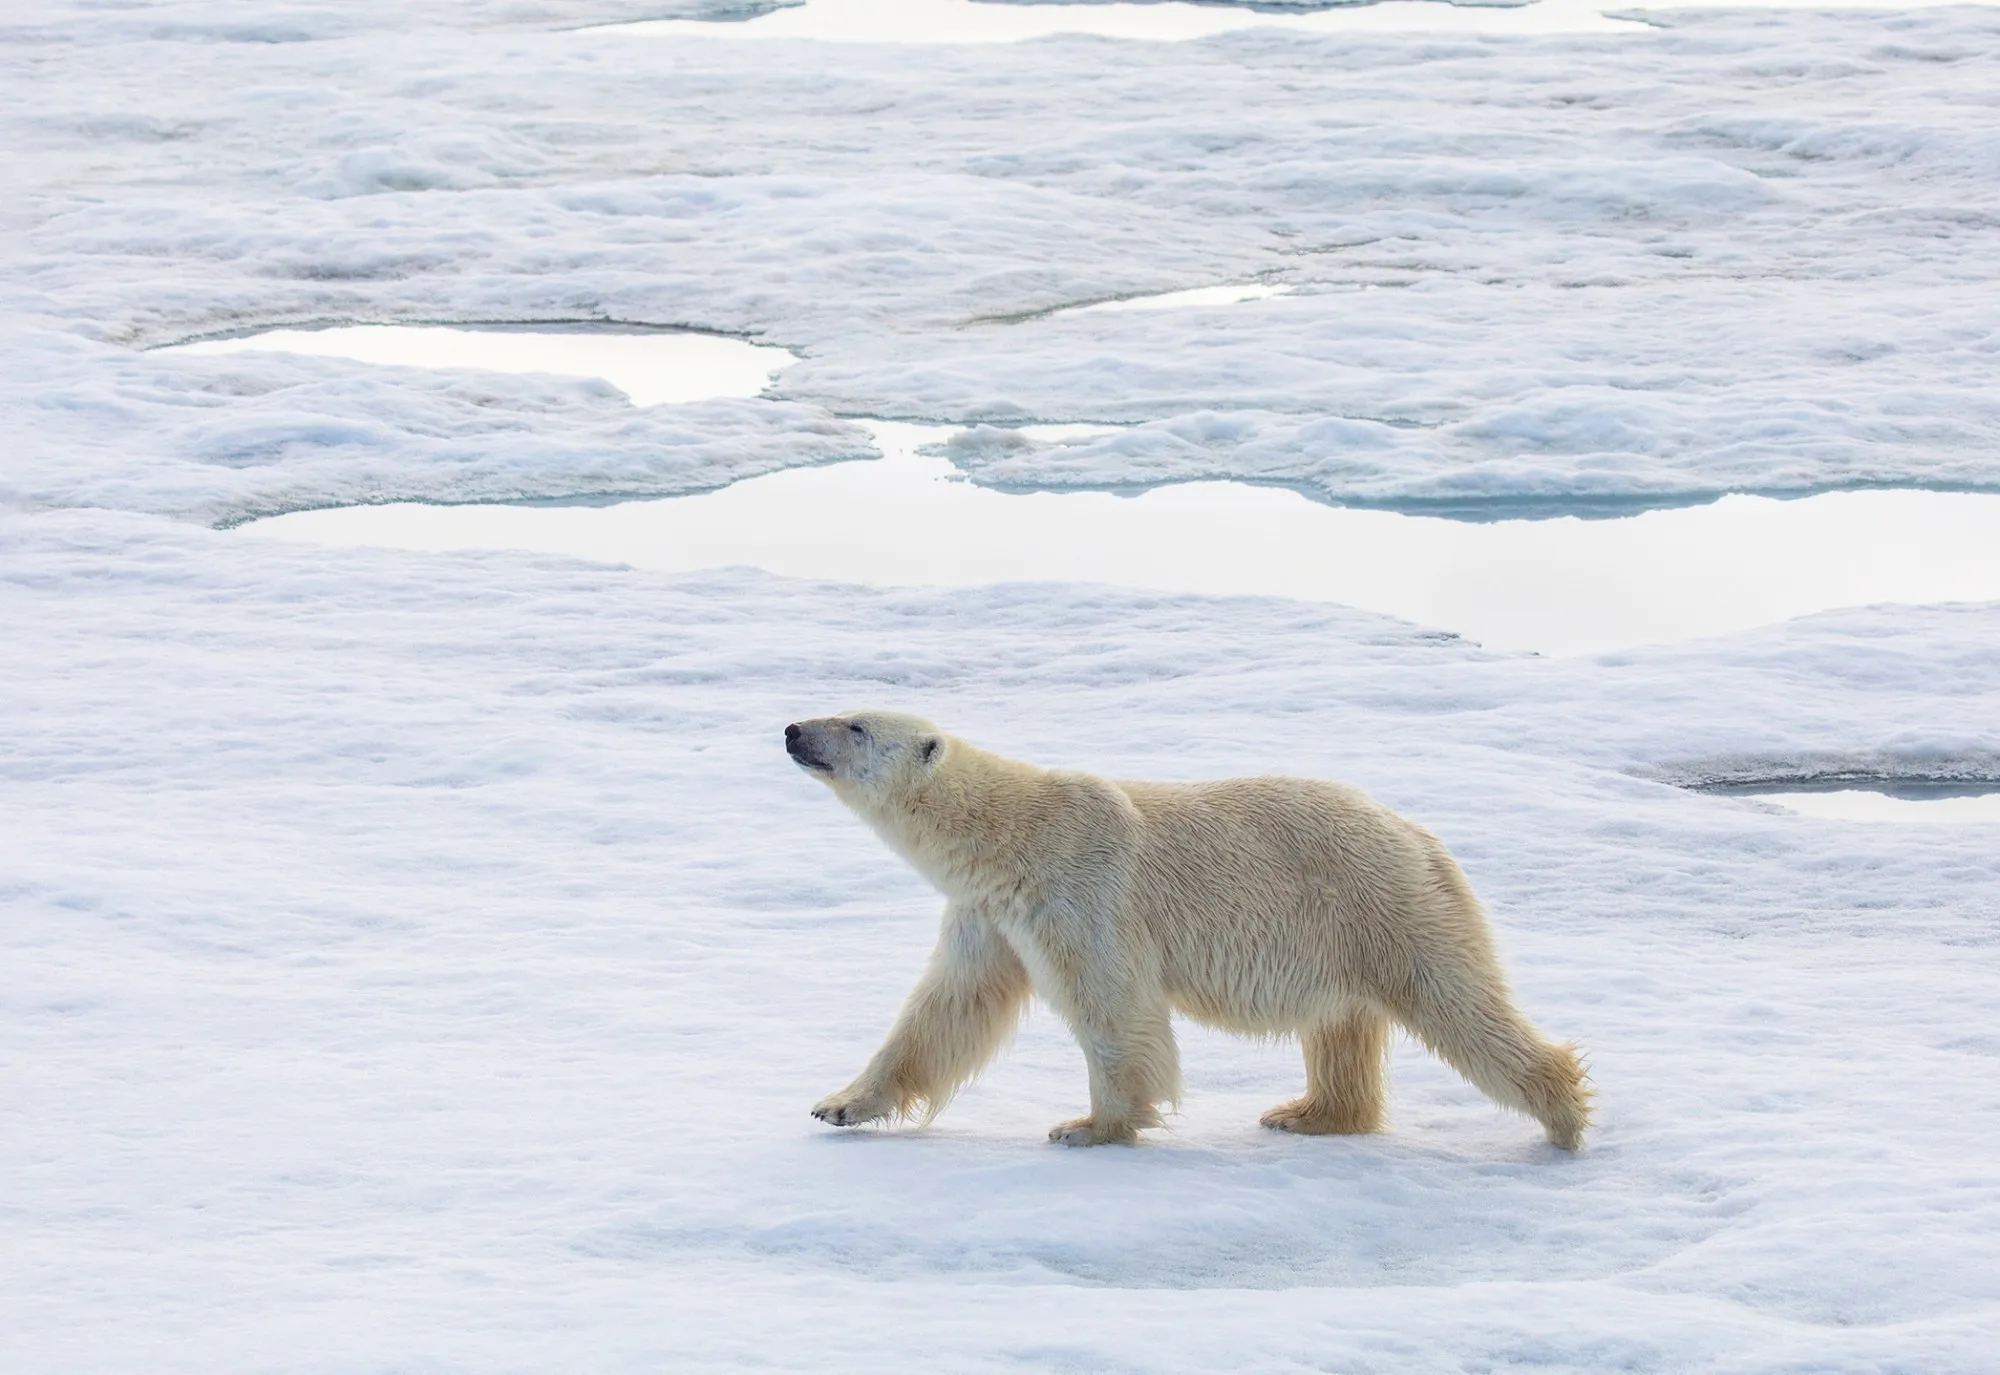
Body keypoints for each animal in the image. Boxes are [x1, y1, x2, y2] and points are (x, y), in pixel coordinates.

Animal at [785, 710, 1590, 1150]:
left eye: (856, 725)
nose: (793, 730)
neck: (1010, 833)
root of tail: (1423, 836)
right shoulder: (989, 915)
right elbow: (945, 1009)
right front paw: (839, 1103)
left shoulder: (1081, 889)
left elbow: (1114, 1008)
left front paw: (1087, 1125)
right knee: (1342, 1027)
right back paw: (1306, 1113)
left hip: (1382, 903)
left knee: (1456, 1002)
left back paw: (1564, 1116)